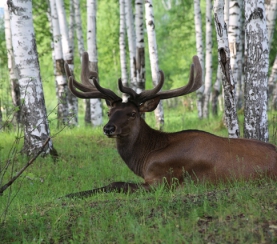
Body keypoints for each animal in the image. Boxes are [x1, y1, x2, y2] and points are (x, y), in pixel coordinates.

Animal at [64, 52, 276, 197]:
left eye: (132, 113)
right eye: (109, 113)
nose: (108, 128)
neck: (145, 158)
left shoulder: (163, 180)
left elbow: (115, 184)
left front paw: (71, 195)